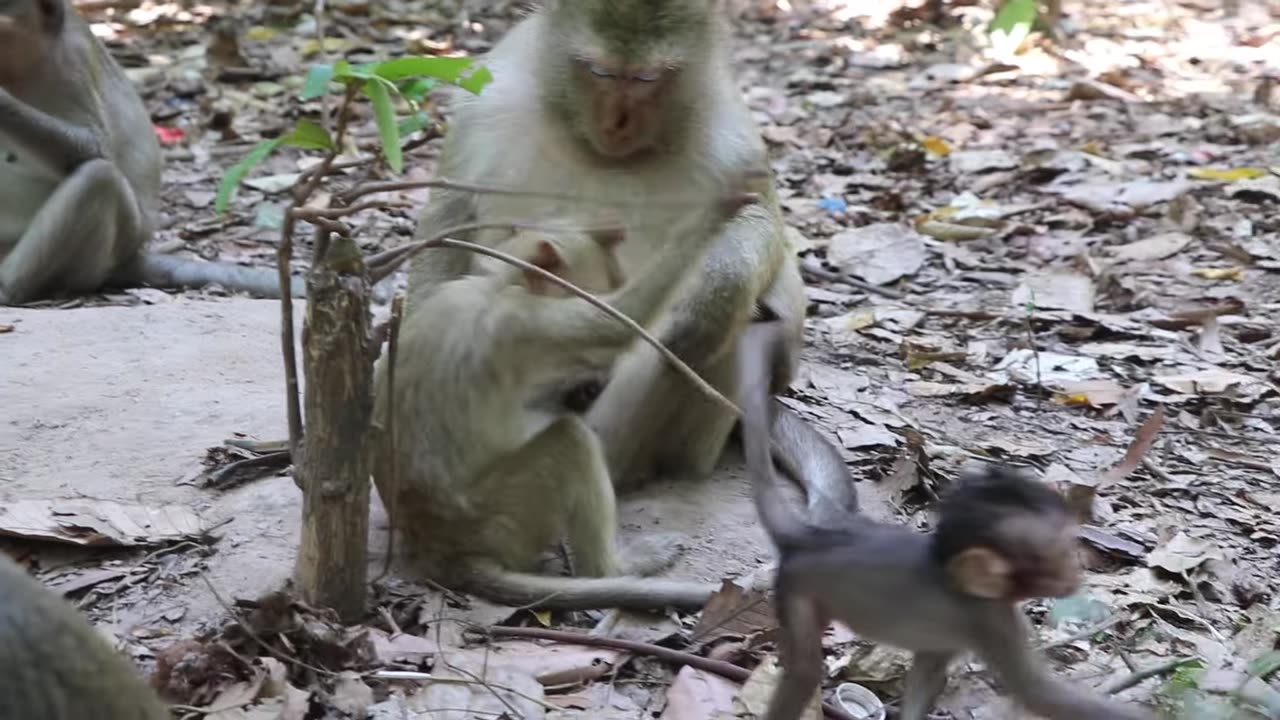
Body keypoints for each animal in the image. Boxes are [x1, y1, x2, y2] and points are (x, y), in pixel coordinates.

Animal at [0, 0, 302, 302]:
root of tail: (130, 257)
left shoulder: (74, 60)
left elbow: (96, 147)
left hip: (104, 255)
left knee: (100, 179)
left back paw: (7, 288)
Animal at [404, 0, 814, 491]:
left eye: (647, 79)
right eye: (600, 72)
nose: (617, 124)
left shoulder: (728, 132)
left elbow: (761, 228)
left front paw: (714, 299)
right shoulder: (487, 99)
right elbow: (452, 211)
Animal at [732, 322, 1162, 717]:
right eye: (1055, 556)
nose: (1076, 570)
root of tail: (814, 535)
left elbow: (928, 673)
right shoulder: (993, 620)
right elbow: (1039, 695)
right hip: (796, 588)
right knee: (805, 669)